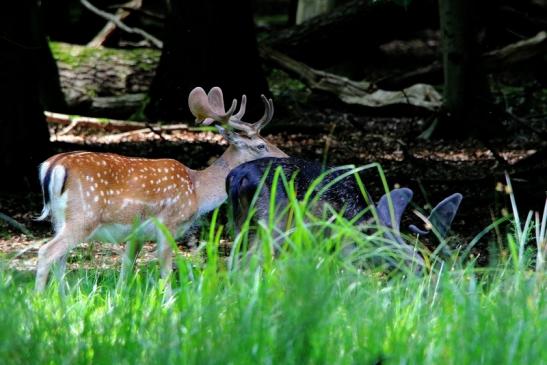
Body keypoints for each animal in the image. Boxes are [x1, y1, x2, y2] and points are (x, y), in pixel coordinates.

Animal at [34, 85, 288, 290]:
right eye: (261, 145)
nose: (286, 157)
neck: (197, 191)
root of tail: (52, 166)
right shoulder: (168, 223)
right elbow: (166, 272)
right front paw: (169, 304)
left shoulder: (137, 233)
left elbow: (126, 271)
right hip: (84, 216)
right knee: (47, 253)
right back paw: (39, 300)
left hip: (59, 219)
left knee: (60, 259)